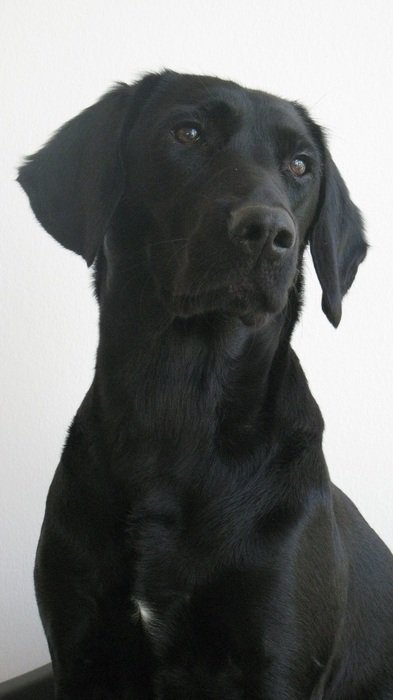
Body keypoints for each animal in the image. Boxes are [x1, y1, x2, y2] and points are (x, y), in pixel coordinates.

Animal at [18, 72, 392, 700]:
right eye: (187, 133)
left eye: (300, 165)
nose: (267, 231)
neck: (181, 403)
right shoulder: (78, 650)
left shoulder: (278, 662)